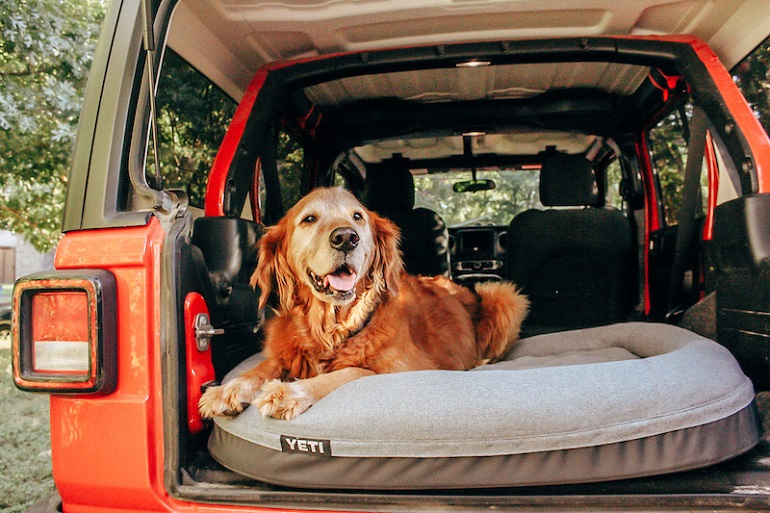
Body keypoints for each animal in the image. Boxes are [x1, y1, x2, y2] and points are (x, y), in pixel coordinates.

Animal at [196, 186, 528, 418]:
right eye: (309, 219)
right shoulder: (287, 352)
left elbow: (344, 373)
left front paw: (290, 392)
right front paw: (227, 390)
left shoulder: (403, 369)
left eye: (357, 216)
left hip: (503, 296)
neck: (332, 328)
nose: (346, 237)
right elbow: (260, 368)